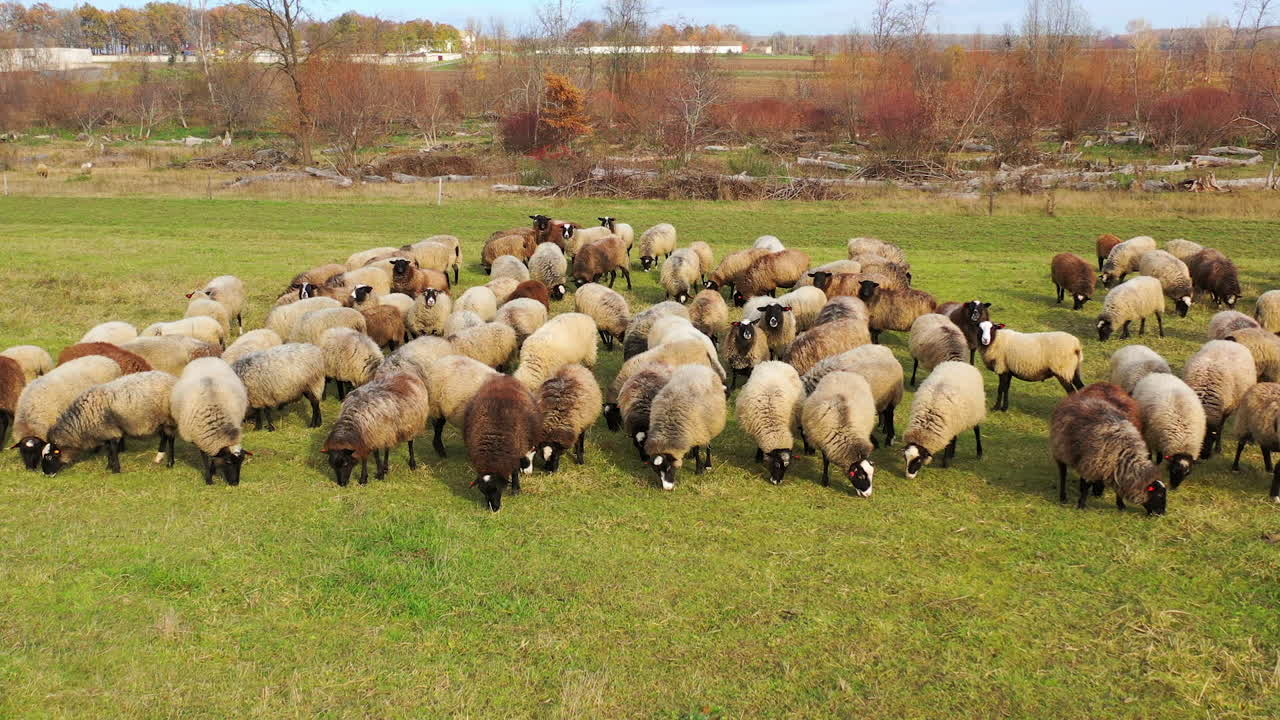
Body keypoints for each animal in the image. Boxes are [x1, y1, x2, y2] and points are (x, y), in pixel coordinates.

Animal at [40, 371, 178, 475]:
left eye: (49, 456)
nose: (46, 474)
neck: (81, 422)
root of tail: (173, 379)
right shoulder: (105, 431)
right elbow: (108, 449)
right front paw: (109, 466)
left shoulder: (110, 431)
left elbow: (112, 448)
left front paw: (115, 469)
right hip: (160, 421)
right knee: (164, 436)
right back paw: (158, 457)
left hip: (168, 418)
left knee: (171, 438)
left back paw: (170, 463)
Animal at [465, 375, 543, 511]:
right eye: (482, 491)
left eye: (497, 488)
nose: (493, 509)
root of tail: (505, 377)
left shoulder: (515, 452)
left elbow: (515, 471)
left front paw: (516, 490)